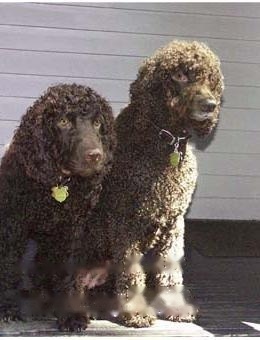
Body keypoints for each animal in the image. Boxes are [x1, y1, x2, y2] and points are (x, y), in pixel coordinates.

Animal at [0, 83, 116, 330]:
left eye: (97, 123)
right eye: (63, 122)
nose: (95, 156)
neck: (58, 184)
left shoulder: (71, 230)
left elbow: (69, 273)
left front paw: (71, 314)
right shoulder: (12, 226)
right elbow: (7, 265)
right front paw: (5, 307)